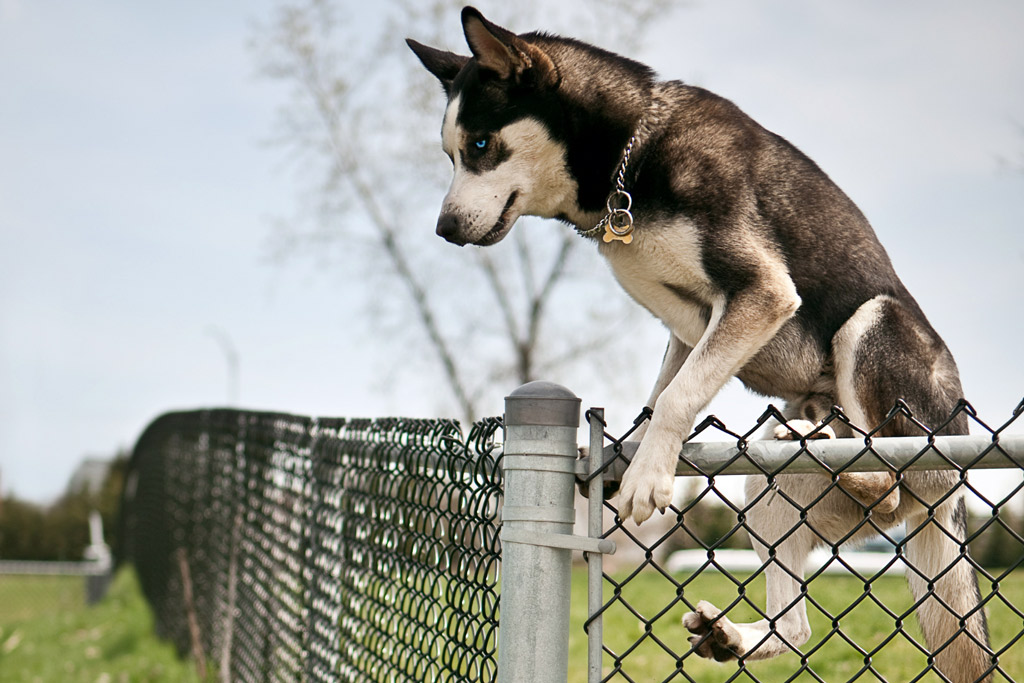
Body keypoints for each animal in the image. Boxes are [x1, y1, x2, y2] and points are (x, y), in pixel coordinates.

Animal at [407, 7, 991, 679]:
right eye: (449, 153)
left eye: (479, 146)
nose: (443, 228)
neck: (632, 157)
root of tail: (949, 494)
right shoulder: (691, 326)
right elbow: (661, 392)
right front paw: (626, 452)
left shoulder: (760, 292)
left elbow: (677, 398)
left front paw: (647, 477)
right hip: (768, 491)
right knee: (795, 626)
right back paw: (734, 631)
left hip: (875, 328)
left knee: (890, 474)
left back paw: (830, 445)